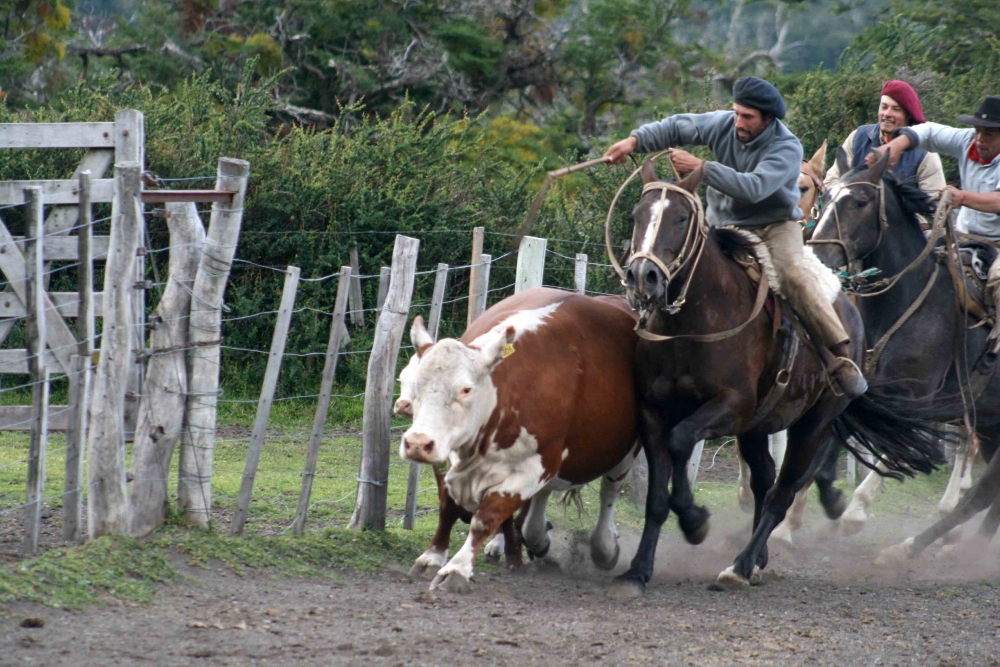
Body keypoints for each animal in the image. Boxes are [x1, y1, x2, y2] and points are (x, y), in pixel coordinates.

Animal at [400, 290, 640, 592]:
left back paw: (603, 547)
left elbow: (486, 517)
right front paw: (432, 556)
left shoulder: (536, 466)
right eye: (415, 384)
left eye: (466, 389)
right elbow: (447, 507)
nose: (417, 443)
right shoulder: (450, 451)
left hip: (625, 451)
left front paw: (456, 568)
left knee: (610, 490)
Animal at [608, 160, 944, 596]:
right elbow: (656, 498)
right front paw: (637, 570)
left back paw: (742, 564)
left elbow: (682, 441)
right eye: (637, 215)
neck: (691, 325)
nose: (642, 276)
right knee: (764, 478)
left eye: (681, 218)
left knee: (781, 492)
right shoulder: (652, 412)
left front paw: (695, 520)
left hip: (812, 424)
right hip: (758, 425)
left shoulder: (731, 406)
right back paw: (758, 557)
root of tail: (850, 315)